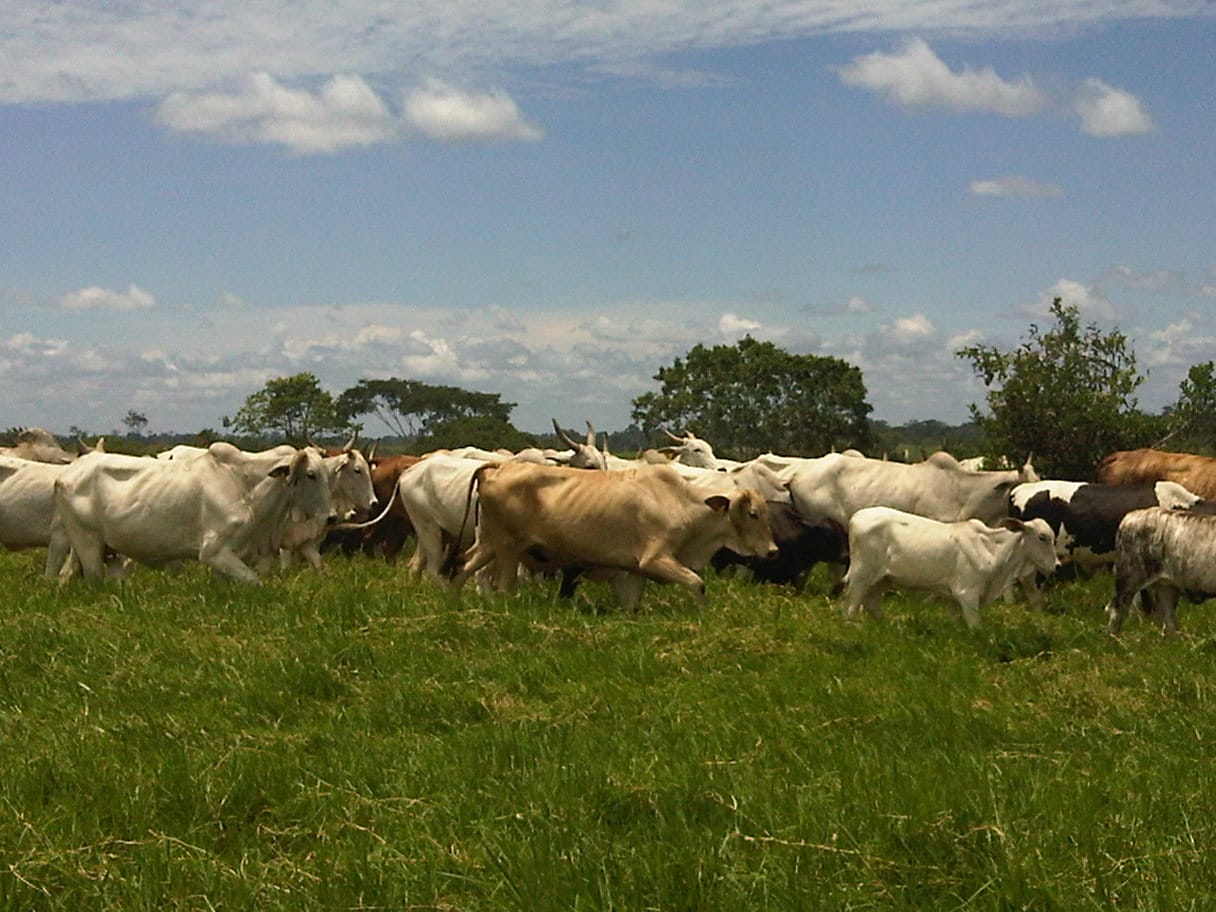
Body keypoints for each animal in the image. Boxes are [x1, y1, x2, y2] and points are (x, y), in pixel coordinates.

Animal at [51, 446, 334, 584]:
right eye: (311, 474)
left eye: (327, 472)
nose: (332, 517)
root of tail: (65, 474)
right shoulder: (214, 552)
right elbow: (255, 582)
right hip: (88, 546)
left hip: (106, 552)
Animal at [449, 461, 778, 610]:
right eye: (753, 514)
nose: (774, 551)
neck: (682, 502)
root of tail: (500, 464)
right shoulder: (655, 559)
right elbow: (697, 583)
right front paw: (702, 612)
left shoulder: (634, 571)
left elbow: (631, 604)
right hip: (508, 549)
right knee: (502, 587)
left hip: (488, 544)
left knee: (462, 567)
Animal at [842, 506, 1058, 629]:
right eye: (1042, 537)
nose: (1056, 565)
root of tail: (859, 514)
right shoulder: (967, 593)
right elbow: (976, 628)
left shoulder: (951, 597)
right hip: (861, 576)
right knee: (851, 607)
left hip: (882, 579)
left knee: (872, 604)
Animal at [1105, 508, 1216, 636]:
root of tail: (1130, 516)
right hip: (1128, 578)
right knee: (1117, 611)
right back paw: (1113, 638)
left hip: (1166, 587)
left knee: (1166, 618)